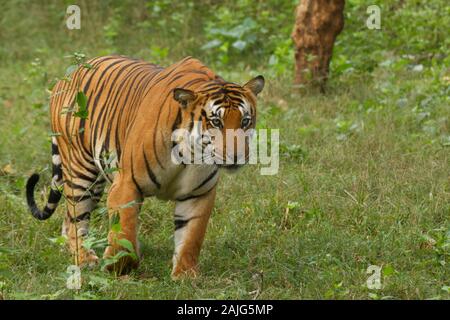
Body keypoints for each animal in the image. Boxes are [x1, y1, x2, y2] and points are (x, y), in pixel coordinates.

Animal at [25, 53, 264, 276]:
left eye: (245, 121)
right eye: (216, 122)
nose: (236, 156)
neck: (189, 155)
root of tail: (68, 75)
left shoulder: (198, 194)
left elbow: (190, 237)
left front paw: (186, 275)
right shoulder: (126, 184)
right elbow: (125, 230)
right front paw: (117, 267)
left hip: (96, 182)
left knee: (68, 220)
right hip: (81, 171)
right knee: (77, 220)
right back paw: (85, 259)